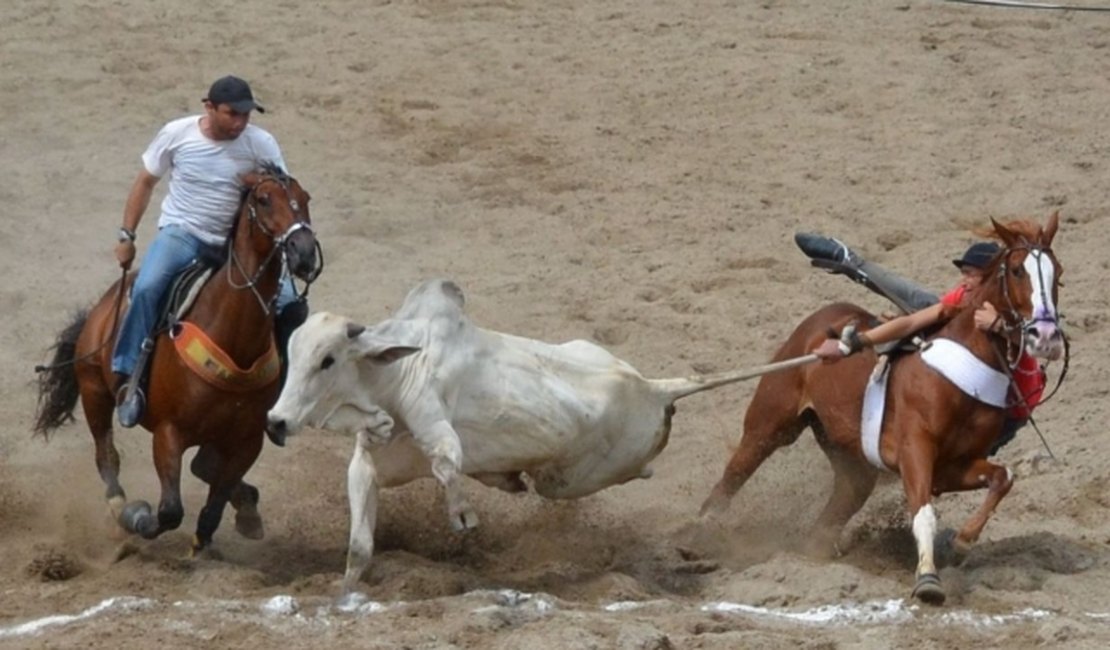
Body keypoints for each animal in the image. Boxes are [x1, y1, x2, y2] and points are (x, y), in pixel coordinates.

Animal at [34, 164, 319, 554]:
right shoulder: (169, 432)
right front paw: (139, 517)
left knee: (203, 466)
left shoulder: (247, 440)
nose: (304, 252)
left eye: (305, 199)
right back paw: (120, 506)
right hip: (94, 390)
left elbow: (214, 504)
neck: (233, 338)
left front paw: (225, 527)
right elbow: (170, 510)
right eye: (263, 199)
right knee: (107, 455)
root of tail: (104, 304)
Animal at [268, 278, 808, 590]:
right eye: (292, 353)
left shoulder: (434, 425)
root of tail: (652, 387)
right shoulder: (368, 464)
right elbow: (359, 547)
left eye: (327, 359)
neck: (399, 370)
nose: (276, 421)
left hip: (567, 482)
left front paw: (463, 514)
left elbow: (447, 461)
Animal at [701, 210, 1065, 603]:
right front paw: (928, 580)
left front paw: (964, 540)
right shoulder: (914, 451)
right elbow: (924, 514)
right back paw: (699, 535)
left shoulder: (951, 466)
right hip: (770, 424)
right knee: (735, 474)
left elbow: (1003, 477)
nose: (1046, 336)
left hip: (849, 455)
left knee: (840, 501)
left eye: (1058, 273)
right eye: (1016, 270)